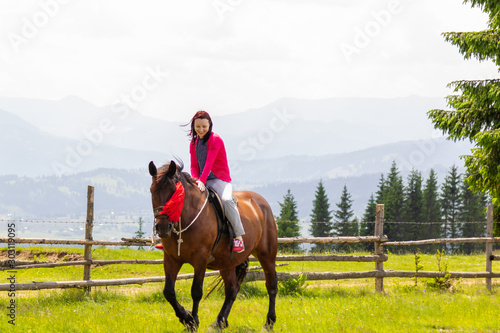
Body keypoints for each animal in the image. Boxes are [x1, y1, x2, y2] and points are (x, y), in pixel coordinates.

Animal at [148, 160, 280, 330]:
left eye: (174, 192)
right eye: (152, 191)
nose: (163, 227)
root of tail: (262, 203)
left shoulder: (201, 258)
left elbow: (196, 291)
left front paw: (193, 321)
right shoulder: (172, 259)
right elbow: (169, 292)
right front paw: (186, 318)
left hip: (266, 255)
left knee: (271, 285)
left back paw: (269, 322)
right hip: (227, 262)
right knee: (232, 289)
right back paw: (219, 322)